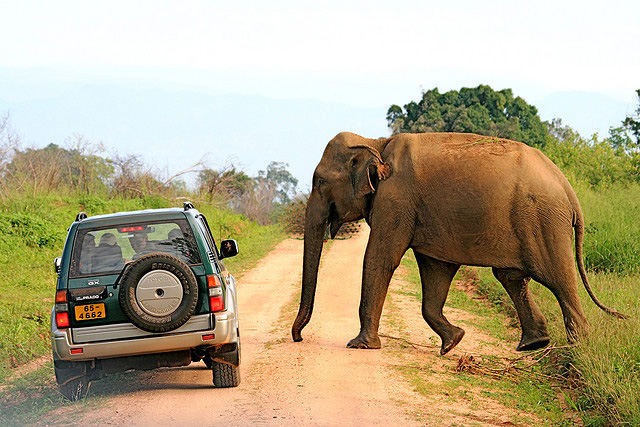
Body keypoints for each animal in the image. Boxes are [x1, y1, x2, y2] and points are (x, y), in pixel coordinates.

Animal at [294, 132, 624, 356]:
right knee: (511, 277)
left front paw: (360, 345)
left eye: (319, 182)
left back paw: (575, 349)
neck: (376, 141)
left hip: (543, 219)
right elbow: (436, 269)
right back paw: (534, 345)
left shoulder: (396, 199)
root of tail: (567, 188)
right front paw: (453, 342)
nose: (298, 338)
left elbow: (381, 258)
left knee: (558, 279)